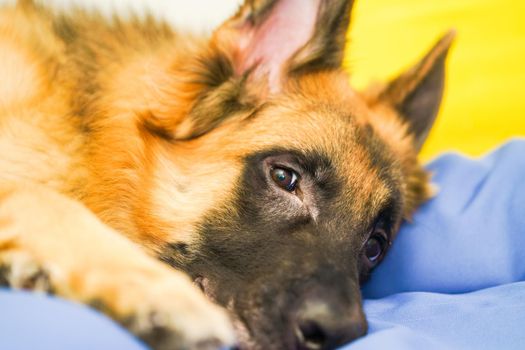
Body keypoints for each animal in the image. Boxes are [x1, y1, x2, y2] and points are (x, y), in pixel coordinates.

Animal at [0, 0, 452, 348]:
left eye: (375, 245)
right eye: (285, 178)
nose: (337, 333)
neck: (89, 129)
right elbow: (48, 201)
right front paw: (157, 293)